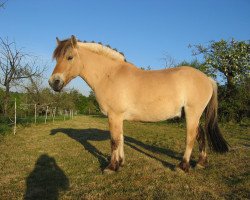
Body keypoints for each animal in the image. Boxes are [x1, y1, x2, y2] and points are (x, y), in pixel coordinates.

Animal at [48, 35, 229, 173]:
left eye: (69, 57)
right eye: (56, 58)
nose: (53, 82)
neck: (109, 74)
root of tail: (207, 78)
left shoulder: (113, 116)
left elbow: (114, 141)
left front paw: (111, 167)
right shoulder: (118, 117)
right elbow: (120, 138)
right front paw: (120, 163)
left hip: (192, 113)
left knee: (190, 137)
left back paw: (182, 166)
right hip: (192, 114)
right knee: (200, 135)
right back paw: (201, 163)